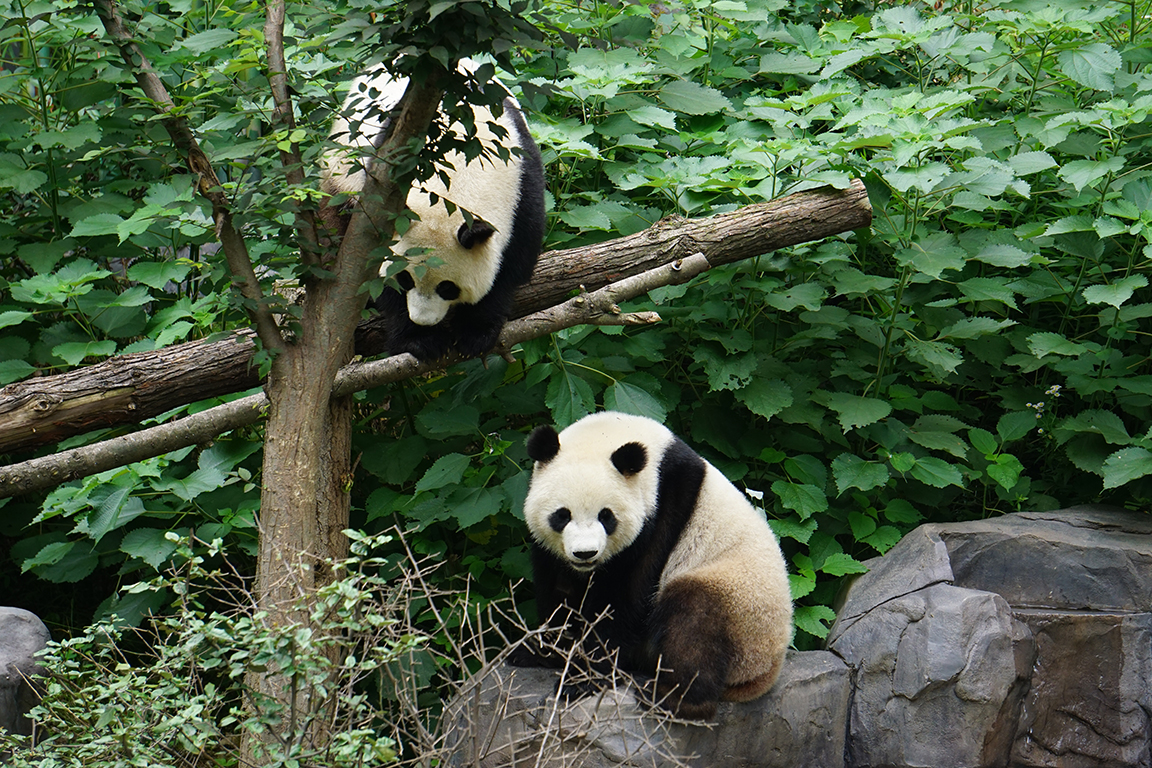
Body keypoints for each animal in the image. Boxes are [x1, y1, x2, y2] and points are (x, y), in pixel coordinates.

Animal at [321, 59, 546, 362]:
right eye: (404, 279)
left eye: (447, 287)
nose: (422, 320)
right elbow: (374, 272)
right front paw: (421, 340)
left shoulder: (523, 188)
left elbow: (508, 270)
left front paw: (476, 334)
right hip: (342, 168)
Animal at [516, 410, 793, 721]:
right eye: (562, 515)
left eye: (606, 516)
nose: (585, 553)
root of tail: (766, 673)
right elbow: (558, 590)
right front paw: (544, 651)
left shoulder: (664, 511)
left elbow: (626, 598)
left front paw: (582, 678)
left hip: (741, 604)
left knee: (693, 621)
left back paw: (670, 699)